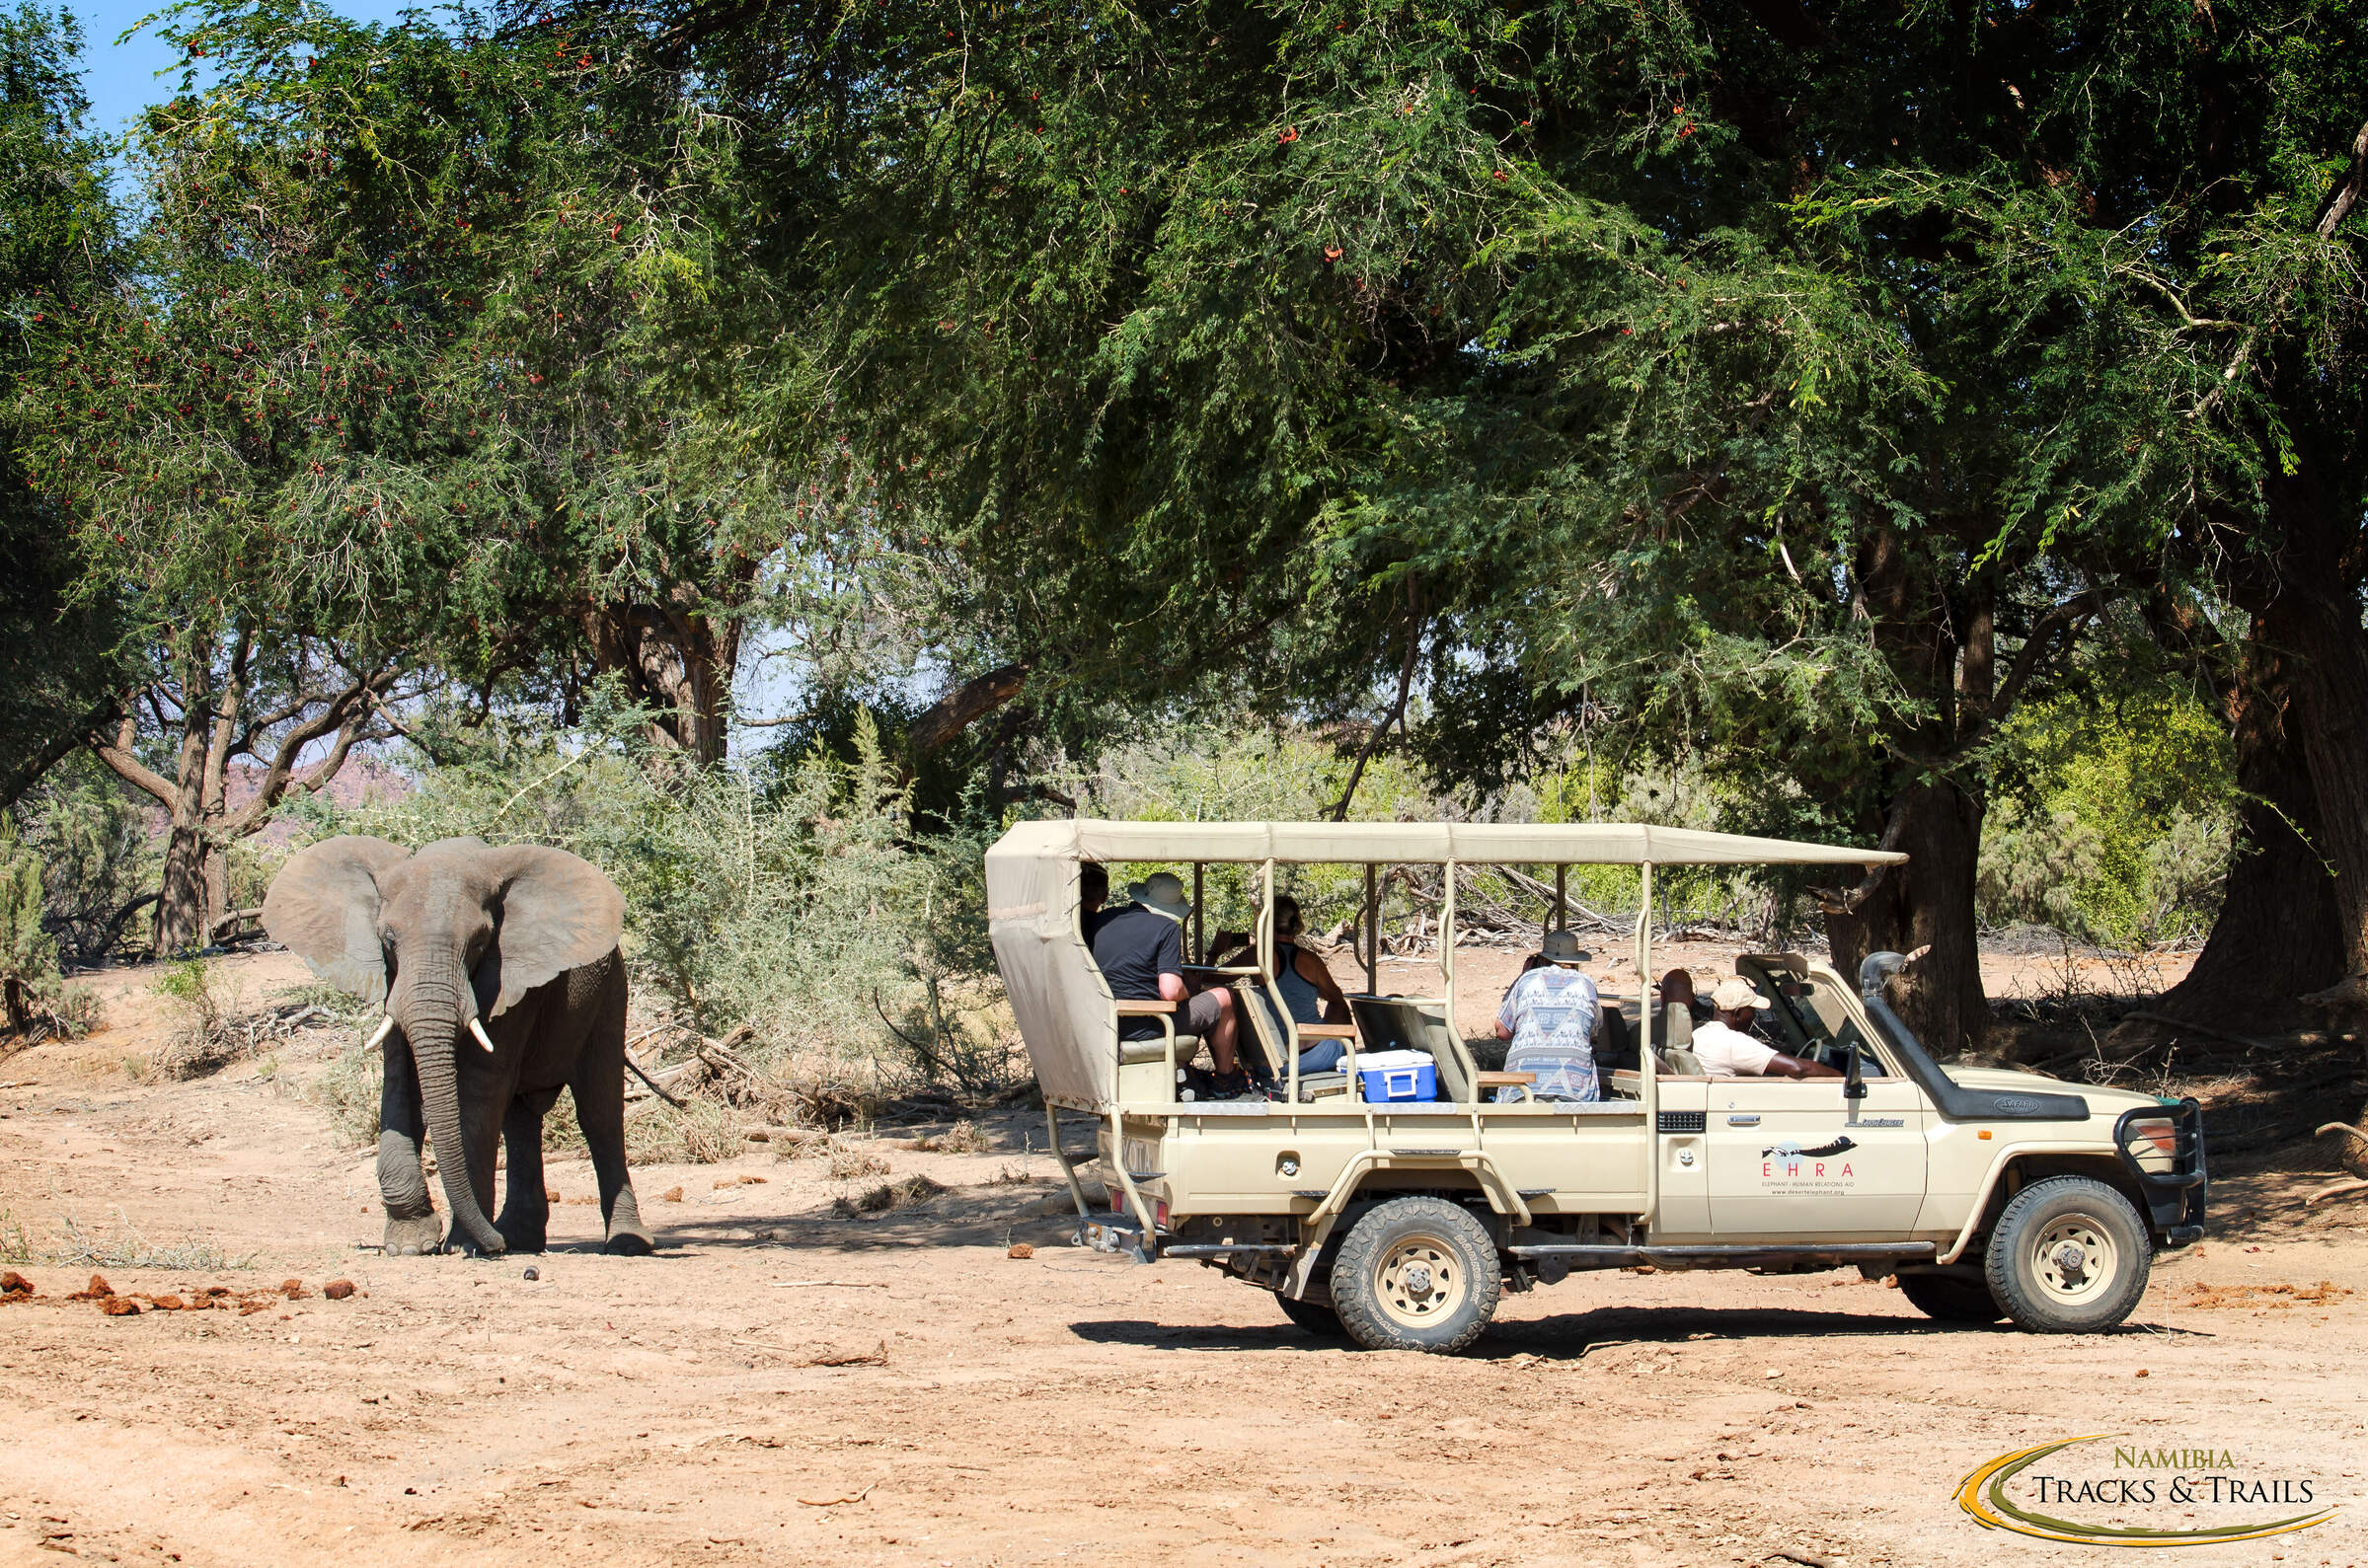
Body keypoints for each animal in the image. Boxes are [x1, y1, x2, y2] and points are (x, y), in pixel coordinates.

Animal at [262, 833, 657, 1269]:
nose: (495, 1247)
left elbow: (478, 1093)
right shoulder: (393, 983)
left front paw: (464, 1245)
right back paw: (519, 1239)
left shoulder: (507, 984)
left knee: (598, 1112)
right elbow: (400, 1088)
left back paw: (623, 1245)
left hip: (611, 992)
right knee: (520, 1117)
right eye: (388, 940)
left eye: (480, 942)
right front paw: (409, 1246)